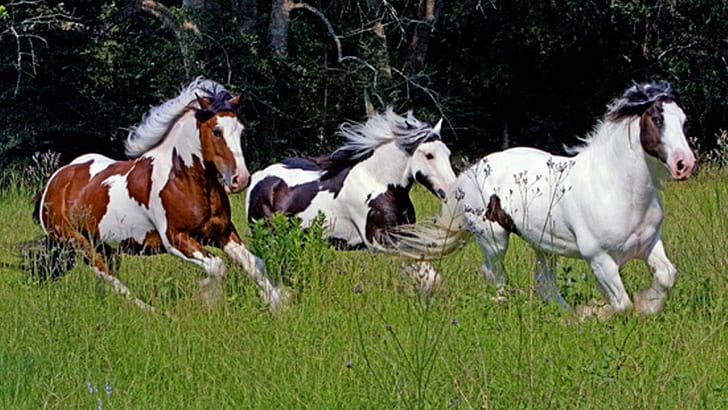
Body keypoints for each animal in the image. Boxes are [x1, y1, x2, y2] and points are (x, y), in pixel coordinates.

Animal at [34, 77, 284, 310]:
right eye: (216, 131)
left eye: (240, 129)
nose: (240, 179)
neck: (183, 180)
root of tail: (52, 184)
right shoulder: (175, 239)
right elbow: (217, 267)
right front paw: (208, 299)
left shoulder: (222, 232)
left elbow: (254, 264)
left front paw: (278, 304)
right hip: (78, 243)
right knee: (110, 278)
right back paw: (152, 312)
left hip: (105, 246)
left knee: (106, 281)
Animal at [247, 107, 458, 288]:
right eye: (429, 155)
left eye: (448, 153)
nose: (451, 190)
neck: (379, 183)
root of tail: (259, 176)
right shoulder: (379, 240)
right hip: (267, 237)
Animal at [390, 81, 696, 316]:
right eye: (657, 119)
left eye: (683, 121)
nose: (684, 164)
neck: (617, 190)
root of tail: (471, 173)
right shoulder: (598, 258)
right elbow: (621, 304)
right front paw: (596, 313)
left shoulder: (649, 243)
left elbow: (666, 276)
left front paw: (647, 306)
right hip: (493, 239)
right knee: (494, 274)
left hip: (544, 245)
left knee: (543, 282)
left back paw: (566, 315)